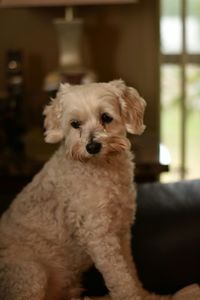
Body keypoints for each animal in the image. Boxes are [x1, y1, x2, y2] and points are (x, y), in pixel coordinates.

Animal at [0, 79, 200, 300]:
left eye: (106, 117)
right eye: (75, 124)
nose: (92, 147)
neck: (103, 169)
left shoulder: (121, 231)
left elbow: (129, 269)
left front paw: (143, 294)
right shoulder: (98, 235)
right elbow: (119, 277)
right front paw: (132, 296)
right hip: (30, 272)